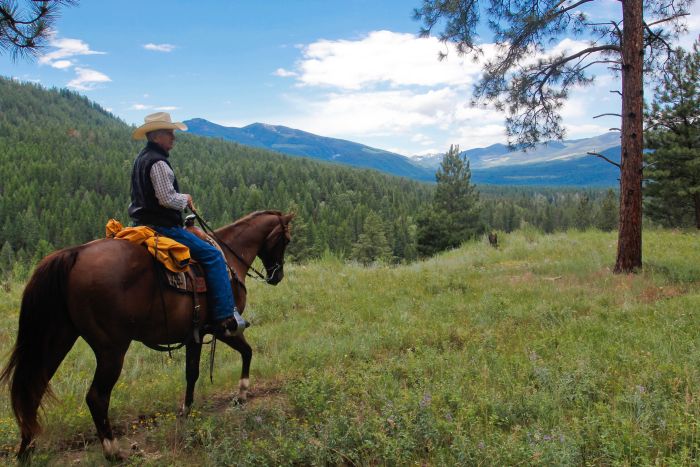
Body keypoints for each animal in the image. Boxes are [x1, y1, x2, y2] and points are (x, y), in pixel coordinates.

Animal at [0, 211, 292, 460]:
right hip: (111, 348)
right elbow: (247, 352)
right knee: (96, 397)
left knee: (34, 388)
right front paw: (241, 394)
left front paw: (186, 410)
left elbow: (192, 372)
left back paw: (26, 449)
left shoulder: (195, 333)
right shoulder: (221, 327)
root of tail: (75, 253)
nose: (277, 276)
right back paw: (113, 451)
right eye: (286, 240)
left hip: (58, 338)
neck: (229, 257)